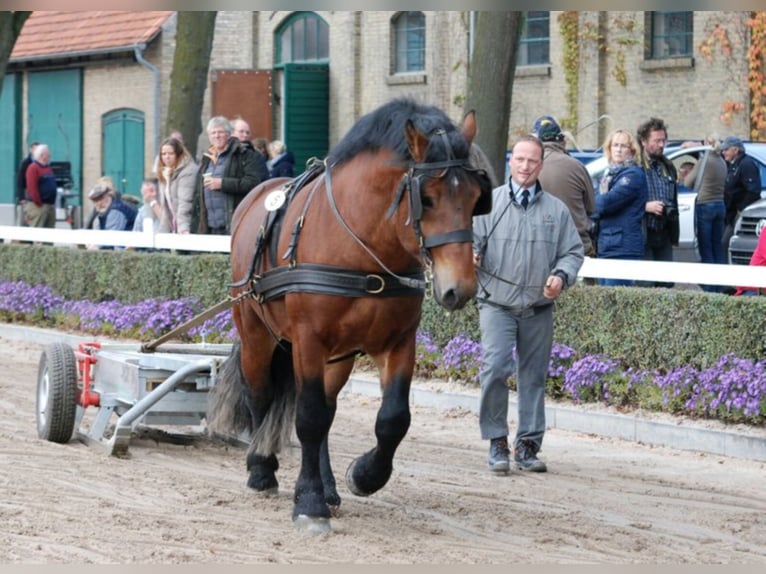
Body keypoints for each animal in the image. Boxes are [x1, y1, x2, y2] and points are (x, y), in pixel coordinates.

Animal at [207, 97, 492, 532]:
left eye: (478, 197)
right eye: (426, 197)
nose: (459, 288)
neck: (363, 248)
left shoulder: (398, 343)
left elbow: (393, 419)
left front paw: (365, 475)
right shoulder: (308, 340)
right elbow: (308, 417)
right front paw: (308, 503)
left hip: (338, 356)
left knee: (328, 410)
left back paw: (326, 486)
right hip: (257, 333)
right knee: (262, 395)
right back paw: (261, 467)